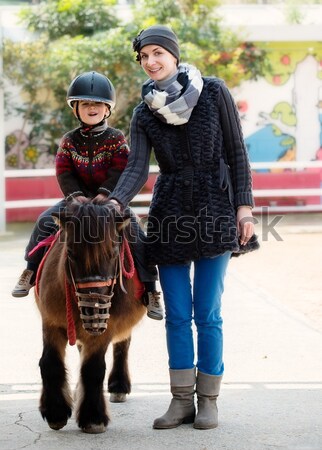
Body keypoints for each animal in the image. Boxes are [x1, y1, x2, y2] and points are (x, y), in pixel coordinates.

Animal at [35, 200, 146, 432]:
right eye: (70, 252)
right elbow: (50, 362)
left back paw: (119, 385)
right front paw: (56, 412)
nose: (94, 307)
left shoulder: (104, 328)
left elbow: (93, 368)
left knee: (122, 345)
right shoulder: (50, 322)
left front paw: (93, 417)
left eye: (113, 252)